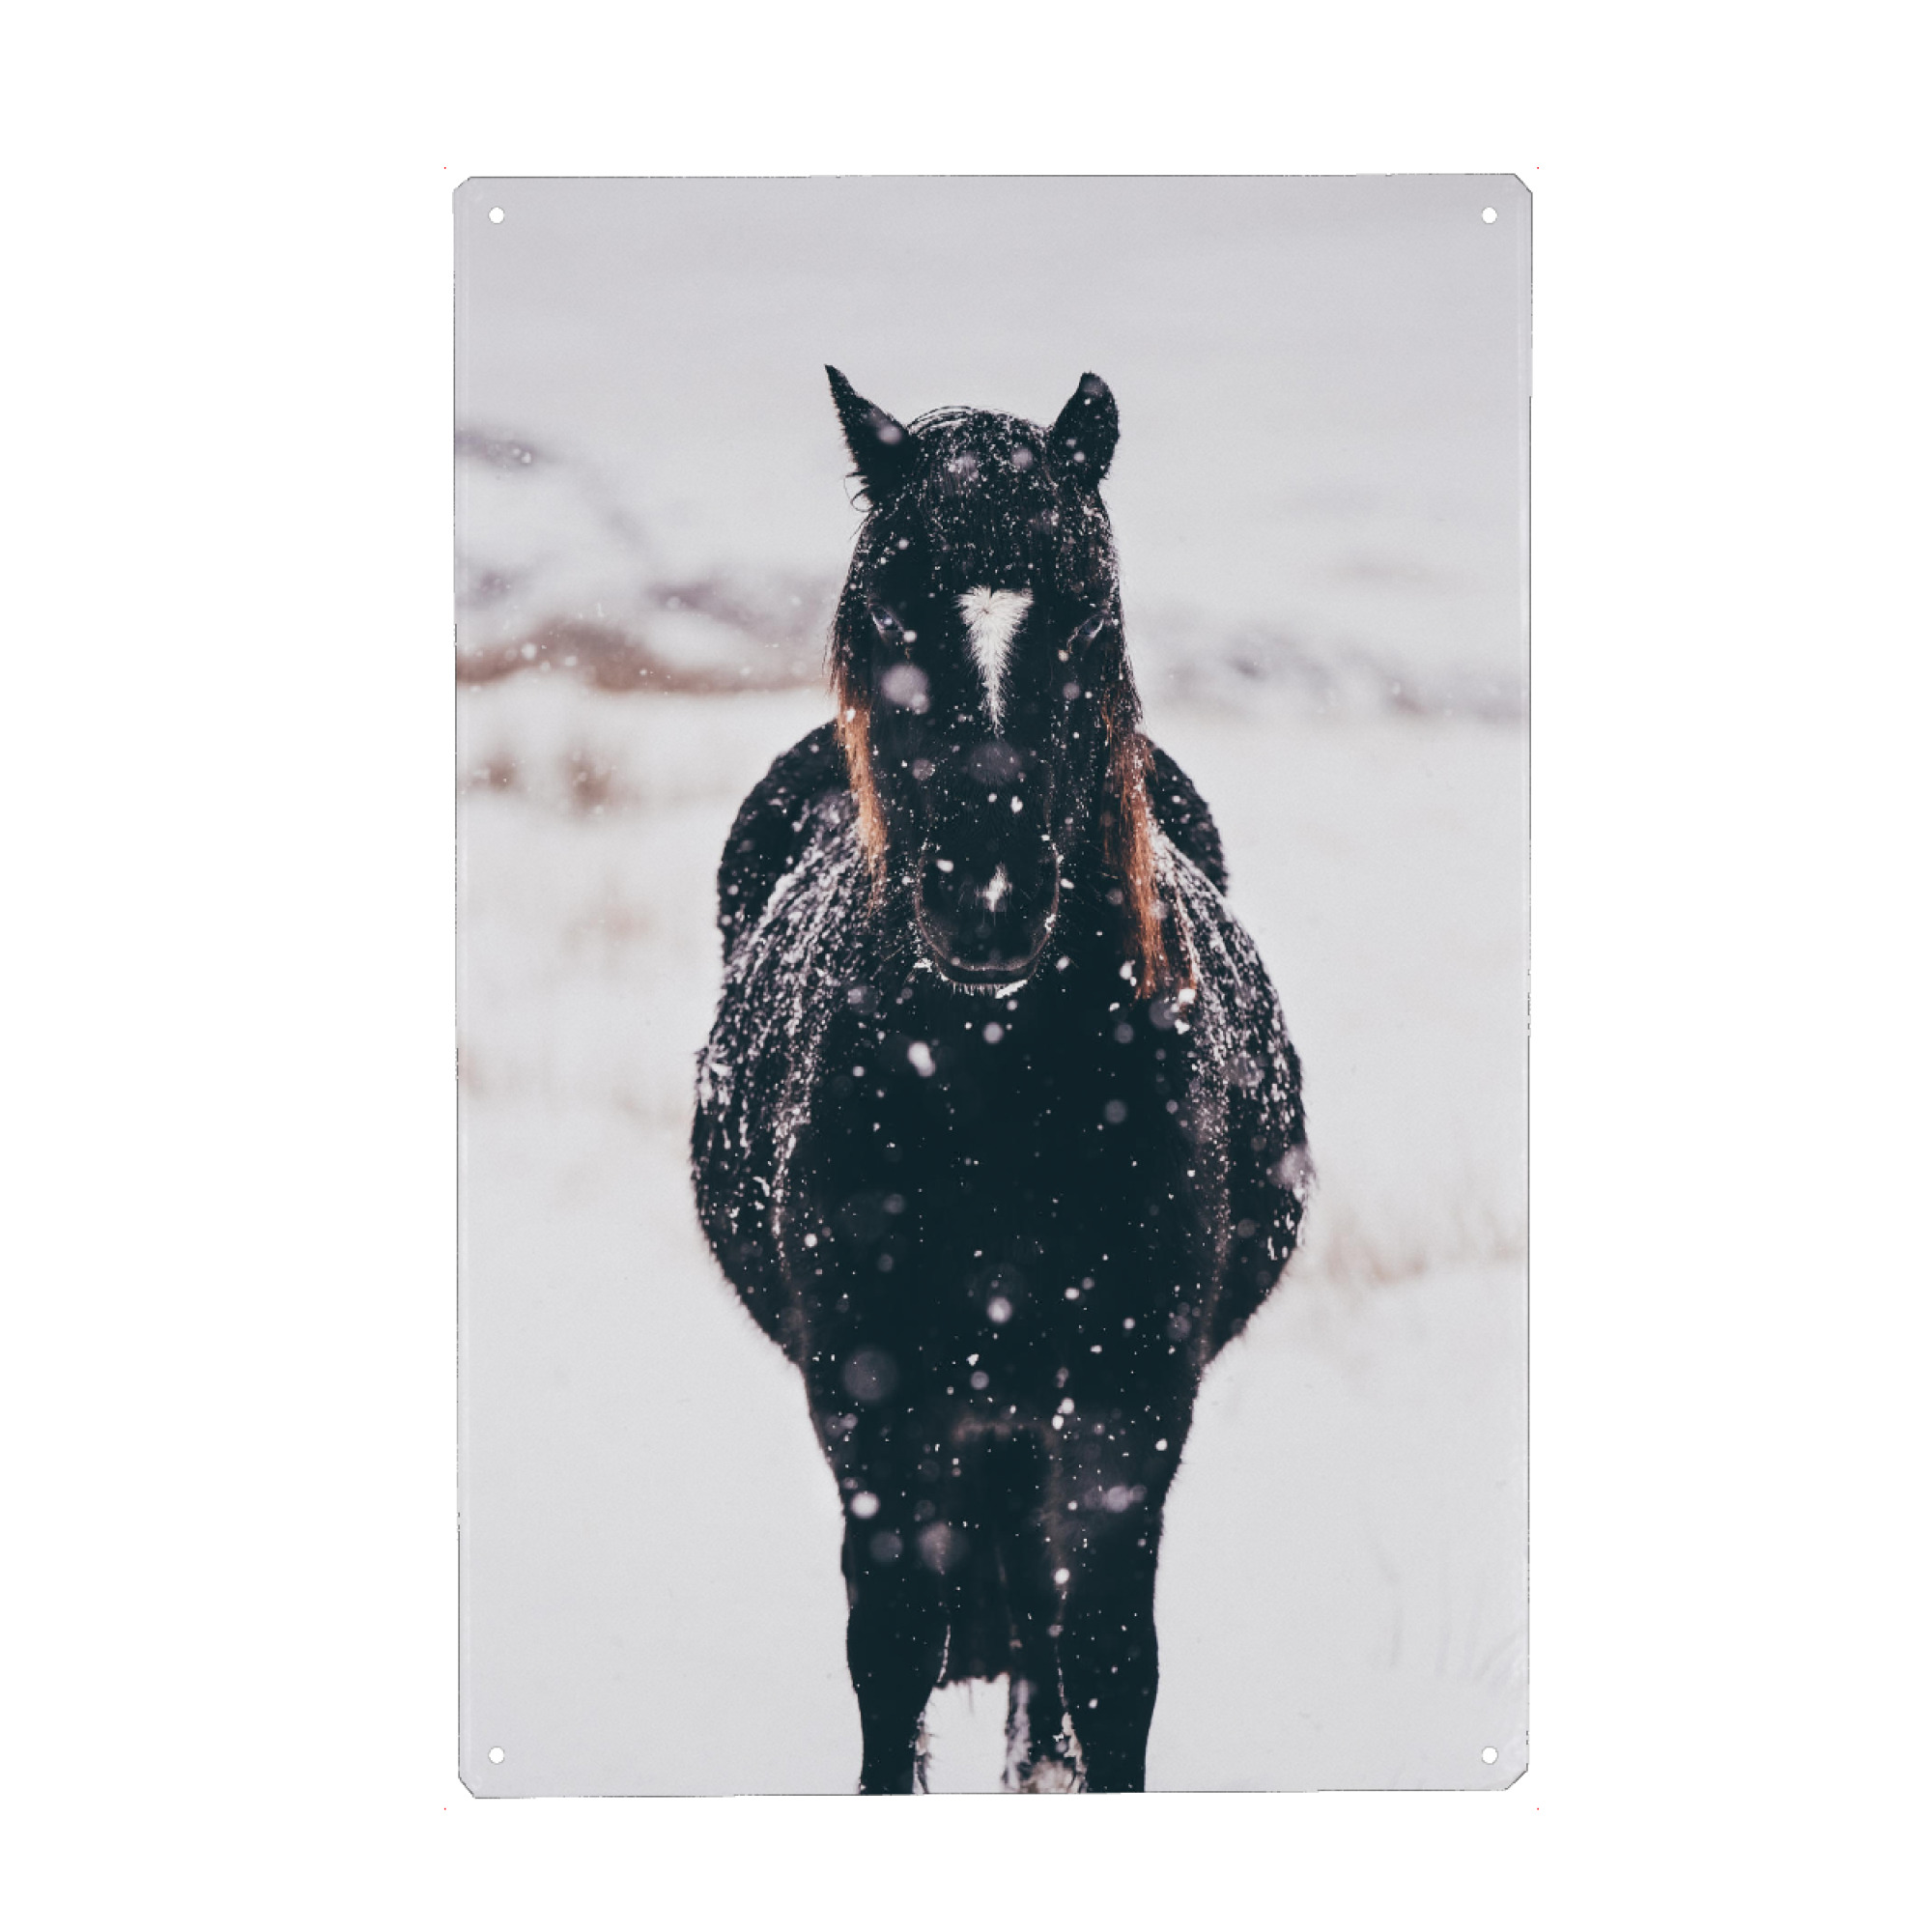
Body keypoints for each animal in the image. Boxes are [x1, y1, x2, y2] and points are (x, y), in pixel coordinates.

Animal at [692, 368, 1310, 1793]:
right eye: (887, 607)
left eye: (1085, 610)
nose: (985, 902)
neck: (997, 1098)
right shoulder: (874, 1418)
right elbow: (892, 1655)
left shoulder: (1128, 1414)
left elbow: (1111, 1663)